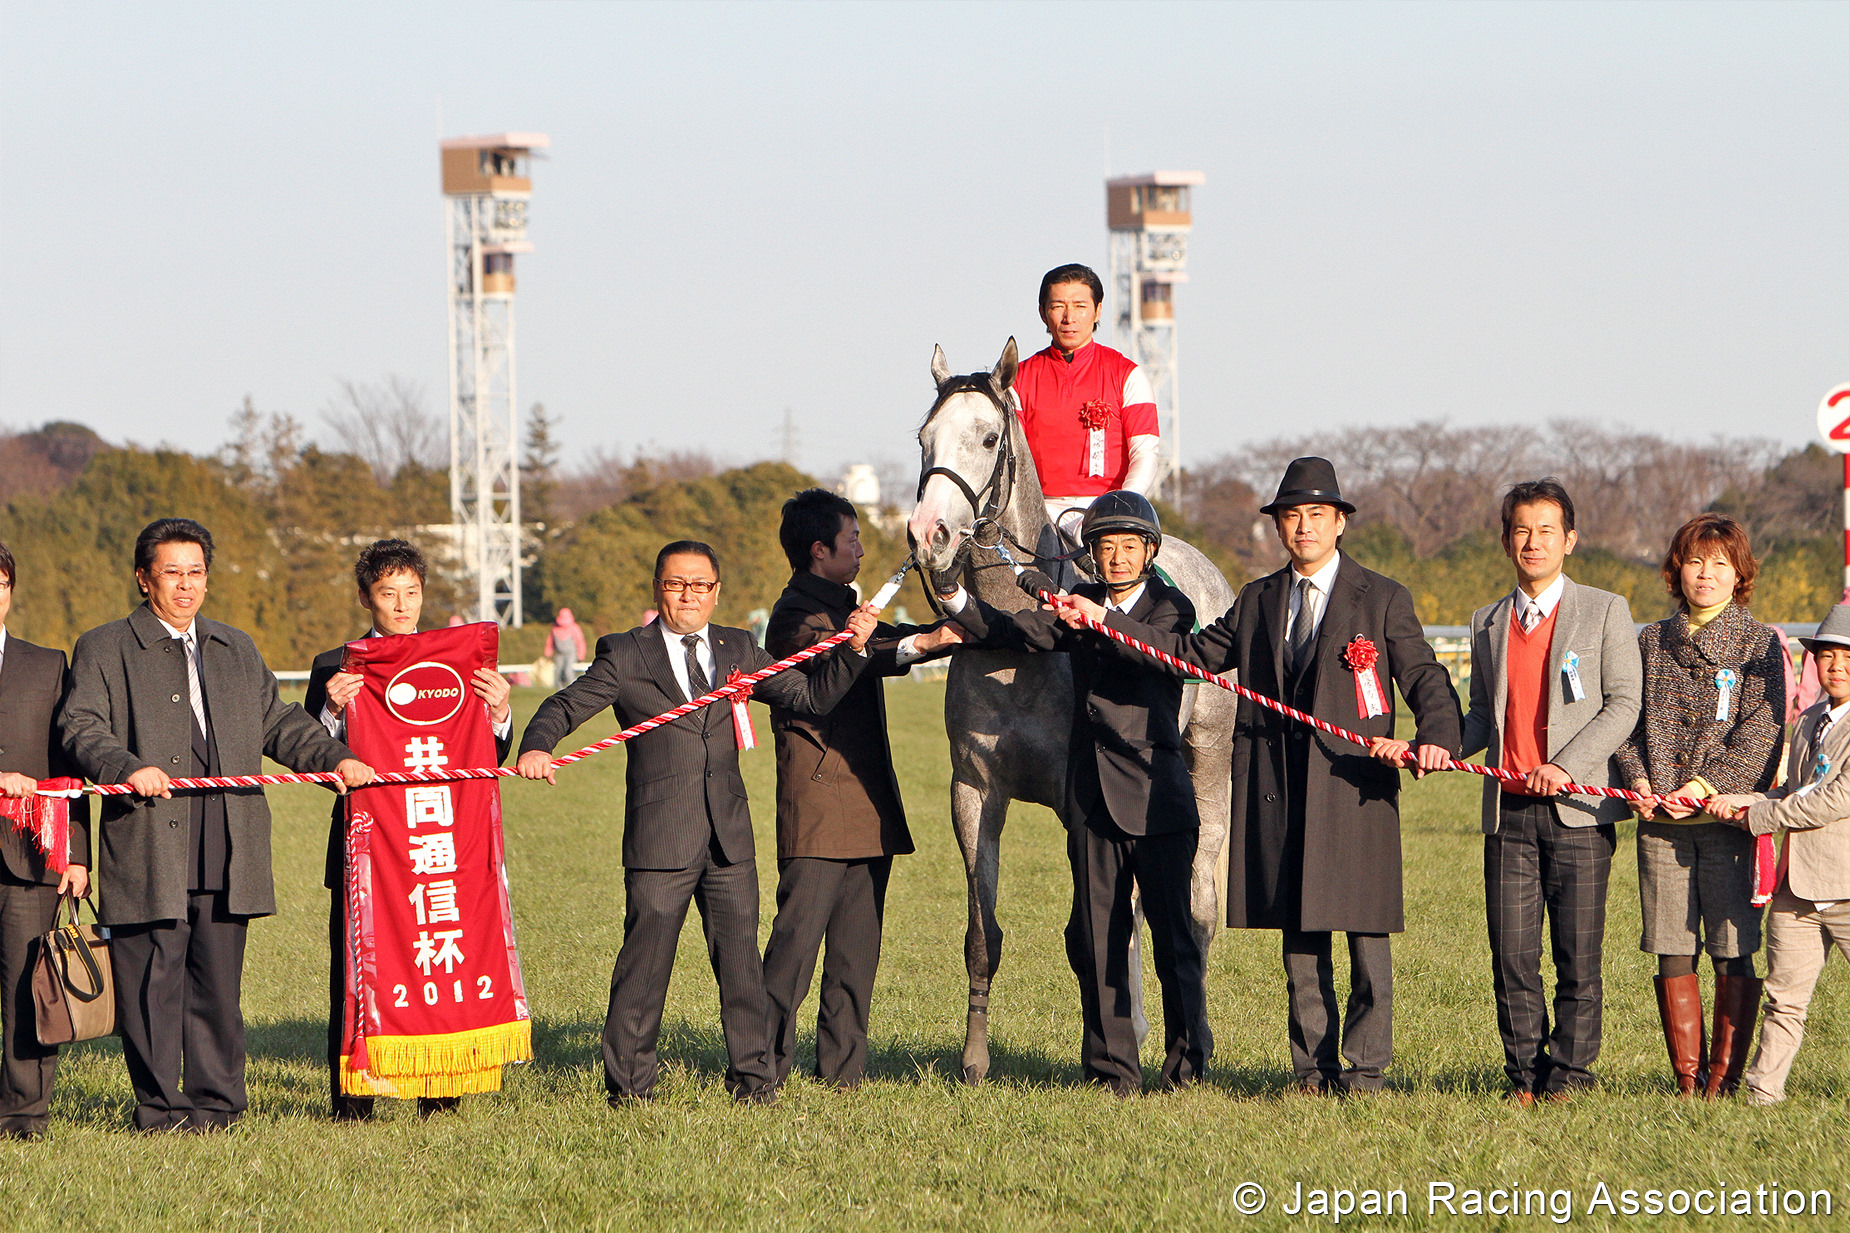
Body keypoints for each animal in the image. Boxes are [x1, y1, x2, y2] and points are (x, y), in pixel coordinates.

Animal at [906, 340, 1235, 1081]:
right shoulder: (975, 791)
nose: (928, 535)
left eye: (989, 437)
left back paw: (1187, 1036)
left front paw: (1105, 1055)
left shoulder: (1077, 801)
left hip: (1207, 764)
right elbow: (983, 934)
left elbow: (1090, 933)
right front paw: (975, 1059)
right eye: (924, 439)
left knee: (1195, 906)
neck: (1017, 635)